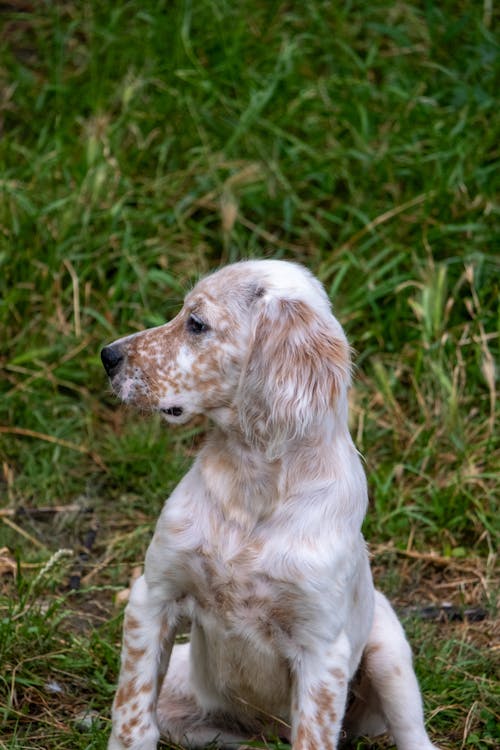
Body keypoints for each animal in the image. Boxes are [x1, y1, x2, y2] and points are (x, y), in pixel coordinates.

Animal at [101, 260, 438, 750]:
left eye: (196, 323)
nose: (107, 355)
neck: (252, 484)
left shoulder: (322, 652)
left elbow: (313, 737)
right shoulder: (154, 596)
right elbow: (132, 716)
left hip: (389, 649)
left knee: (413, 731)